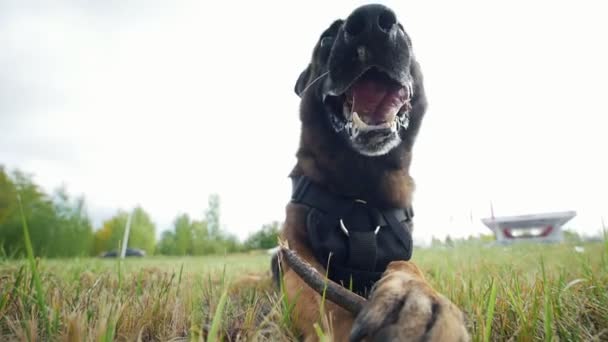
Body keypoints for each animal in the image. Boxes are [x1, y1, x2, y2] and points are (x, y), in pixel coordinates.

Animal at [272, 3, 470, 342]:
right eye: (326, 38)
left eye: (404, 32)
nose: (371, 20)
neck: (361, 194)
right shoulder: (296, 255)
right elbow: (321, 299)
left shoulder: (402, 254)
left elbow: (408, 268)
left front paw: (417, 299)